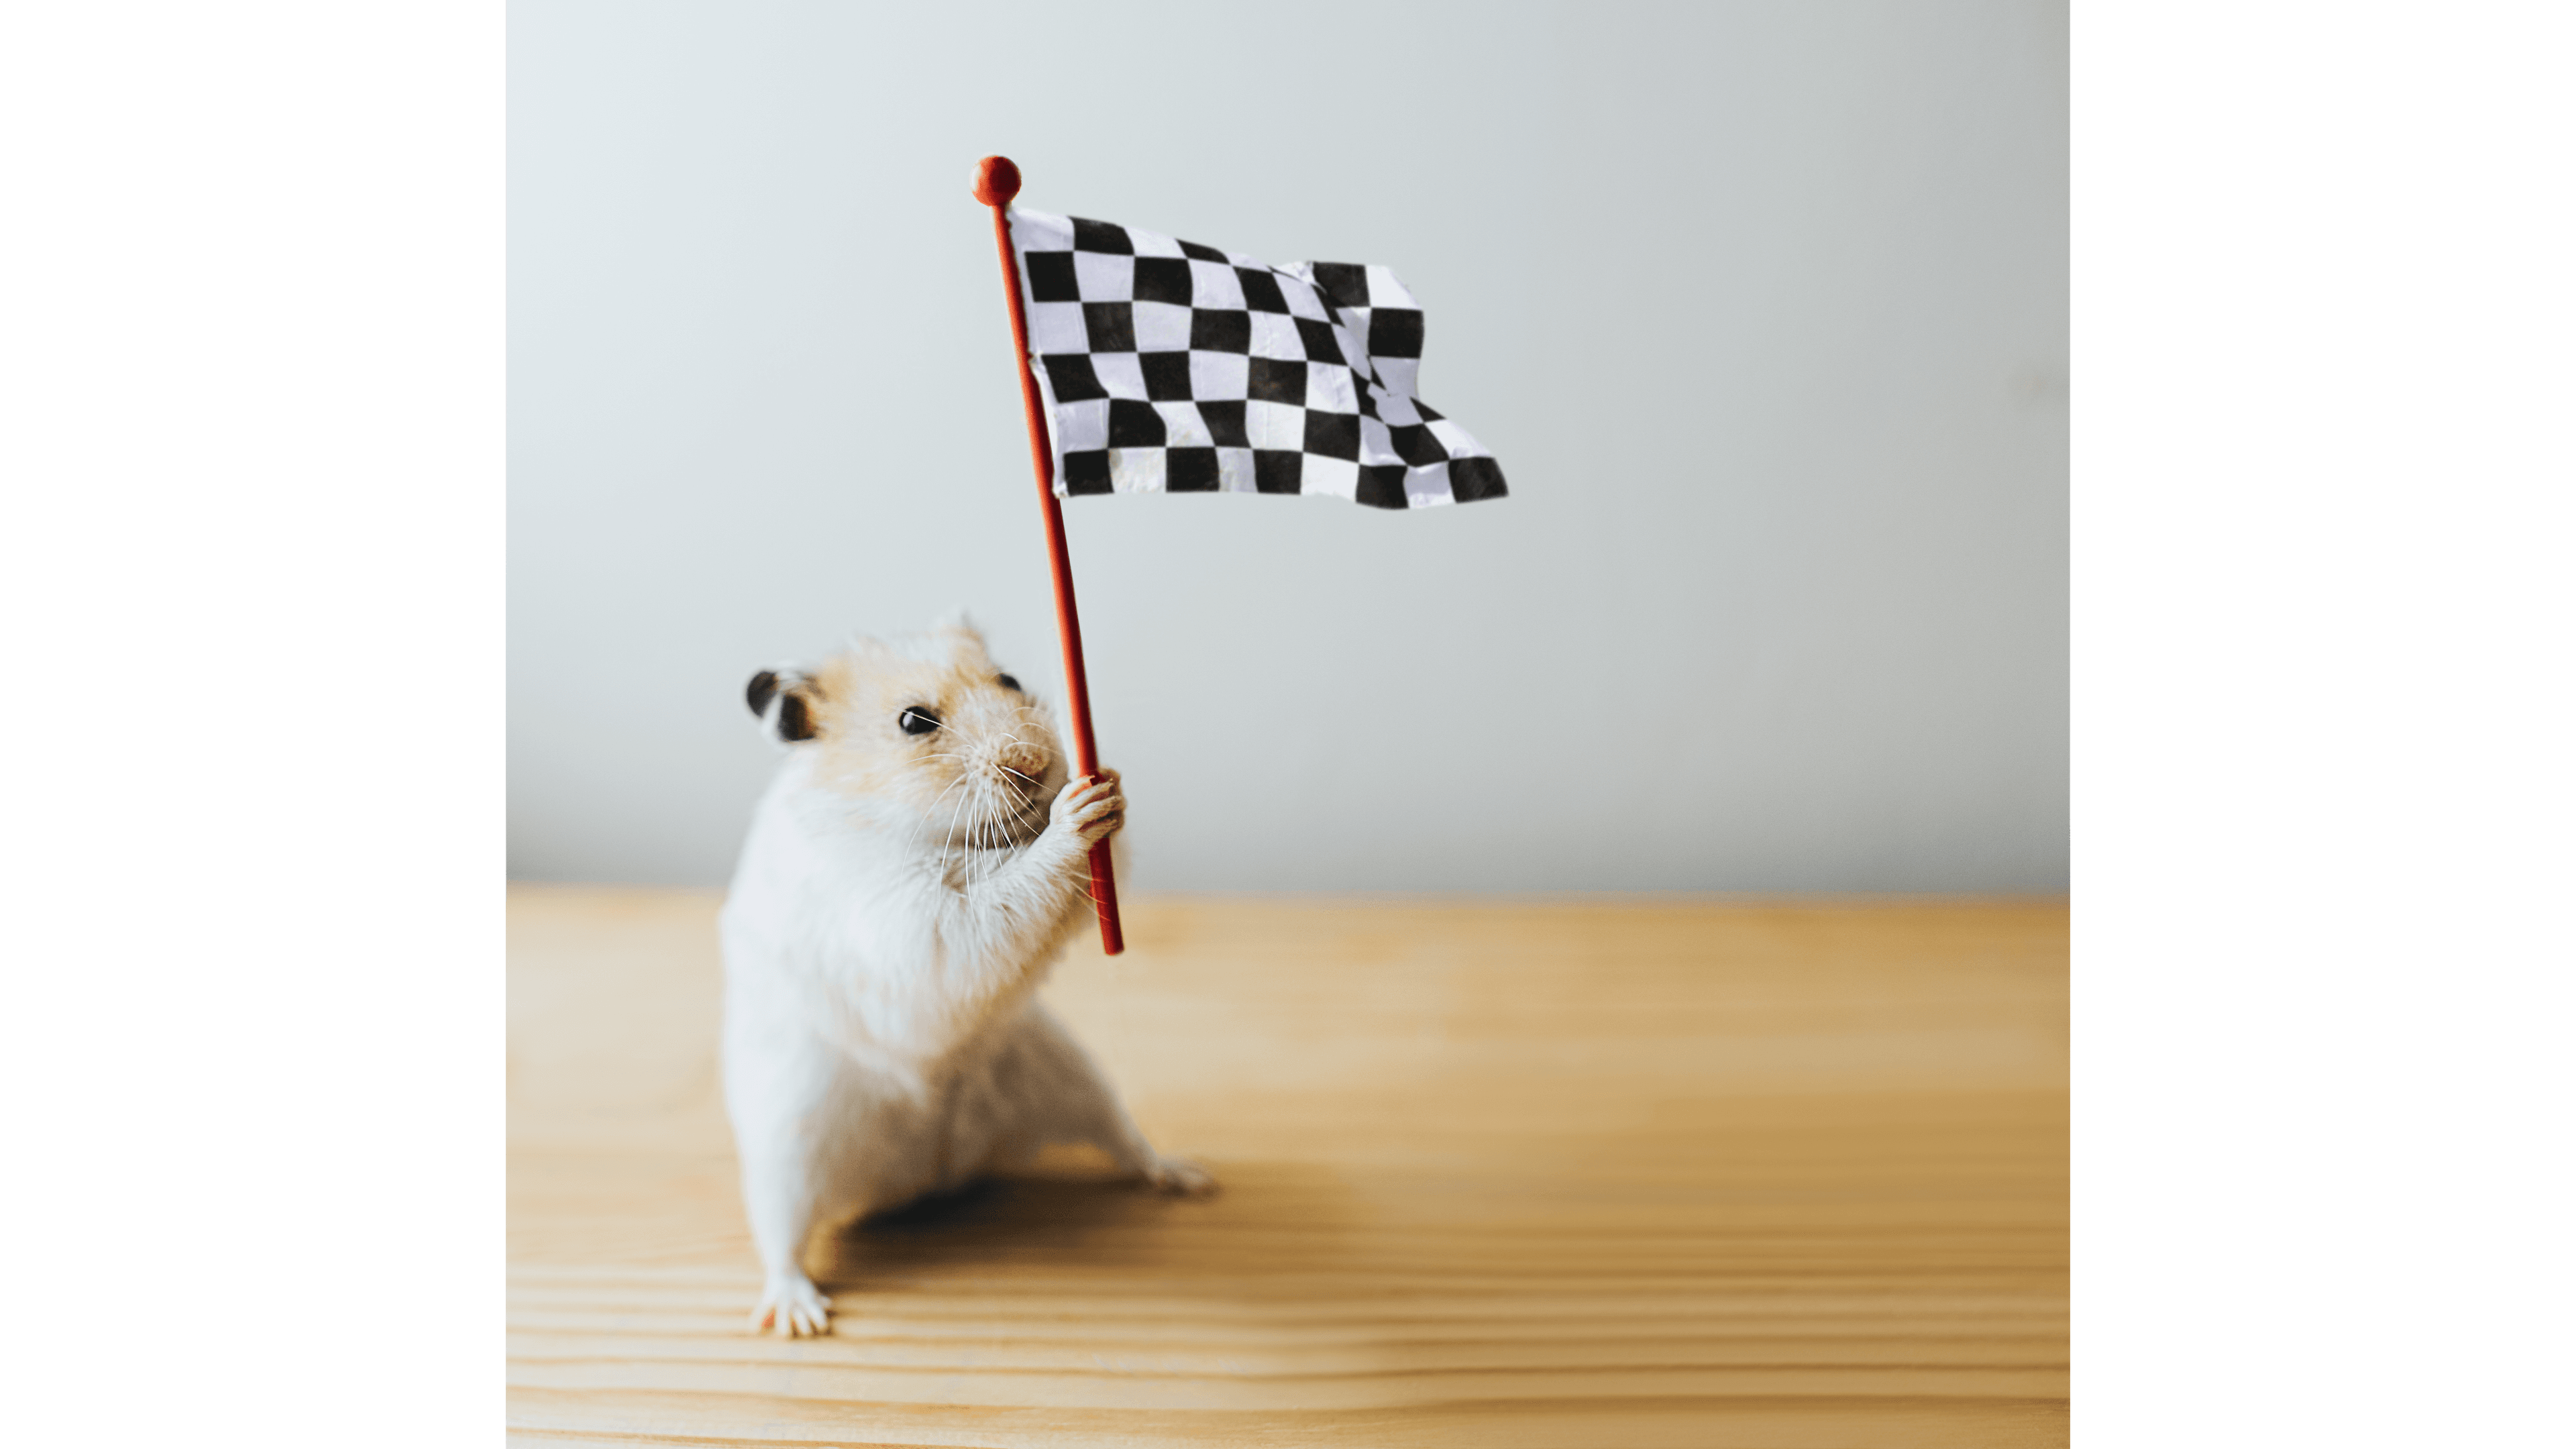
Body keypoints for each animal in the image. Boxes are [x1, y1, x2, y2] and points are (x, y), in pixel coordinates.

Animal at [721, 608, 1210, 1330]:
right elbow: (1006, 894)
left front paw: (1107, 785)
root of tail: (933, 1174)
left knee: (1127, 1145)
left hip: (1071, 1074)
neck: (935, 831)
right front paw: (1072, 816)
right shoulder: (916, 925)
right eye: (914, 721)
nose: (1035, 764)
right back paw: (799, 1317)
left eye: (1009, 679)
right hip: (789, 1145)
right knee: (780, 1237)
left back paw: (1187, 1177)